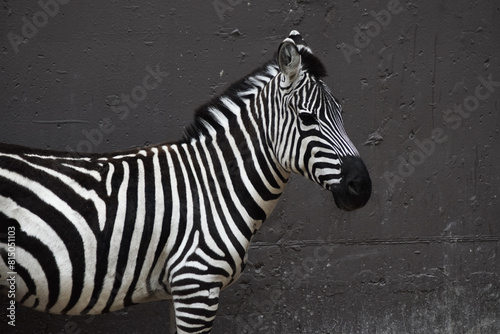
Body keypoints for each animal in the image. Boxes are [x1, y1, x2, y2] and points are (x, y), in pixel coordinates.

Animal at [0, 30, 372, 332]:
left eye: (341, 113)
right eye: (308, 119)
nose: (363, 188)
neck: (215, 188)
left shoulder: (178, 291)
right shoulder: (197, 285)